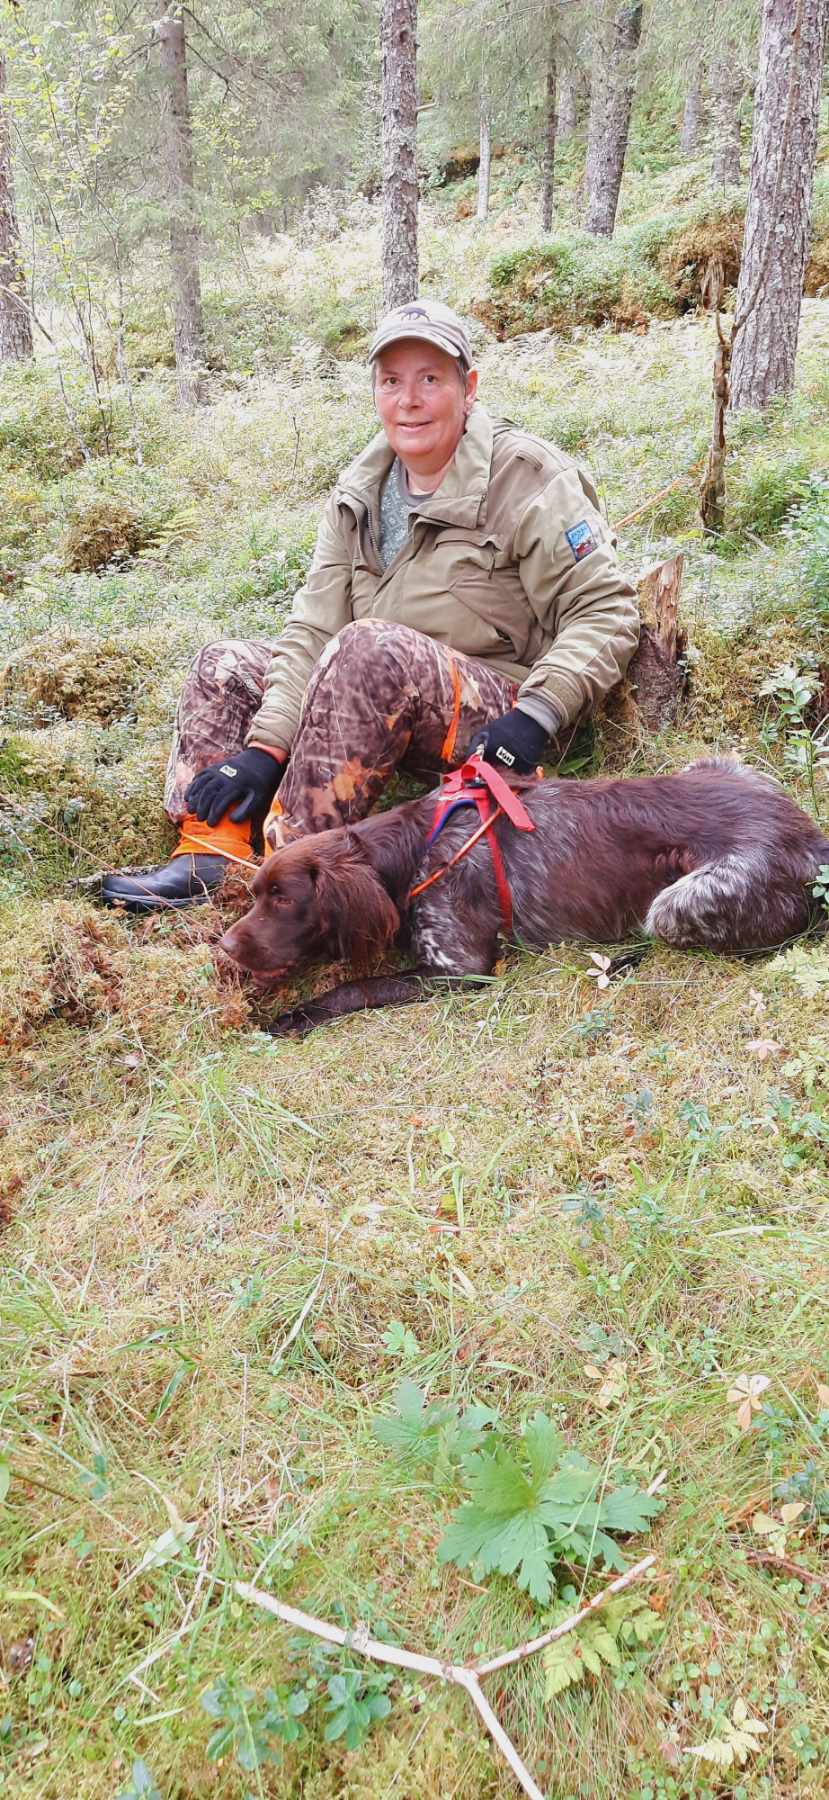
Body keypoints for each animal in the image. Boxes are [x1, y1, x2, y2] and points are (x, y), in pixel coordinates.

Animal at [218, 758, 829, 1034]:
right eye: (257, 894)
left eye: (284, 899)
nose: (224, 946)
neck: (413, 852)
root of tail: (810, 839)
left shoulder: (462, 969)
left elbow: (354, 986)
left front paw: (293, 1016)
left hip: (677, 902)